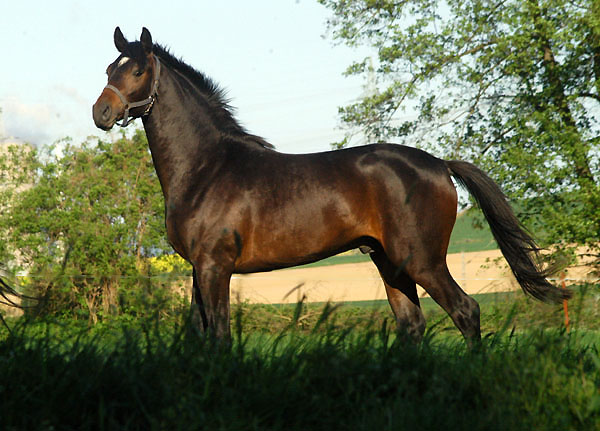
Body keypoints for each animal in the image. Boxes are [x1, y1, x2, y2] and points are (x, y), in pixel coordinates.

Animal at [92, 27, 568, 344]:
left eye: (138, 70)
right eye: (109, 67)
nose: (101, 113)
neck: (207, 168)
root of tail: (438, 164)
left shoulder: (214, 267)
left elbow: (221, 337)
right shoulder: (196, 269)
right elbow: (199, 336)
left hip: (424, 261)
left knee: (466, 312)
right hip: (390, 263)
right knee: (412, 325)